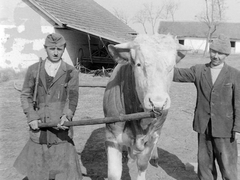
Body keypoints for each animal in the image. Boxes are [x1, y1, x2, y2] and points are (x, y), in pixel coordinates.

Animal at [102, 34, 188, 180]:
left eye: (172, 67)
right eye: (138, 64)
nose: (158, 103)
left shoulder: (152, 137)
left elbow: (142, 164)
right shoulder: (112, 135)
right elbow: (114, 174)